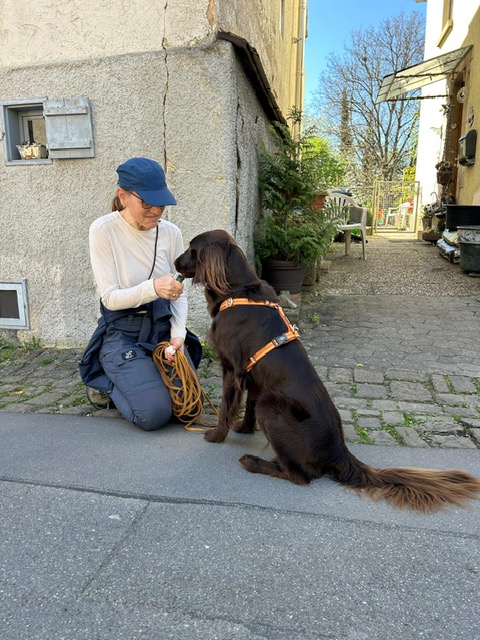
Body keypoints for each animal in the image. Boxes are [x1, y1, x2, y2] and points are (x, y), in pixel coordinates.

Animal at [175, 229, 480, 512]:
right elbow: (247, 406)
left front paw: (216, 435)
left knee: (300, 475)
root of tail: (340, 451)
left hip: (271, 406)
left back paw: (254, 462)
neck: (237, 291)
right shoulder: (253, 376)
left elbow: (227, 406)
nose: (175, 262)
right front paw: (245, 429)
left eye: (191, 248)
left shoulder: (231, 369)